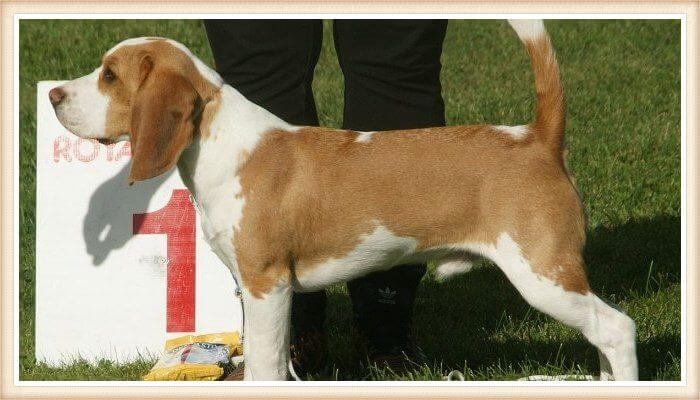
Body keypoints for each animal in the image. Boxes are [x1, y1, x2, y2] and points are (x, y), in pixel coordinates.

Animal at [50, 19, 640, 382]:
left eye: (110, 75)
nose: (53, 94)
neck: (222, 143)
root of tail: (537, 138)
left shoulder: (266, 285)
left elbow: (266, 366)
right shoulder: (251, 287)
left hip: (543, 274)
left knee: (618, 329)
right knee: (602, 336)